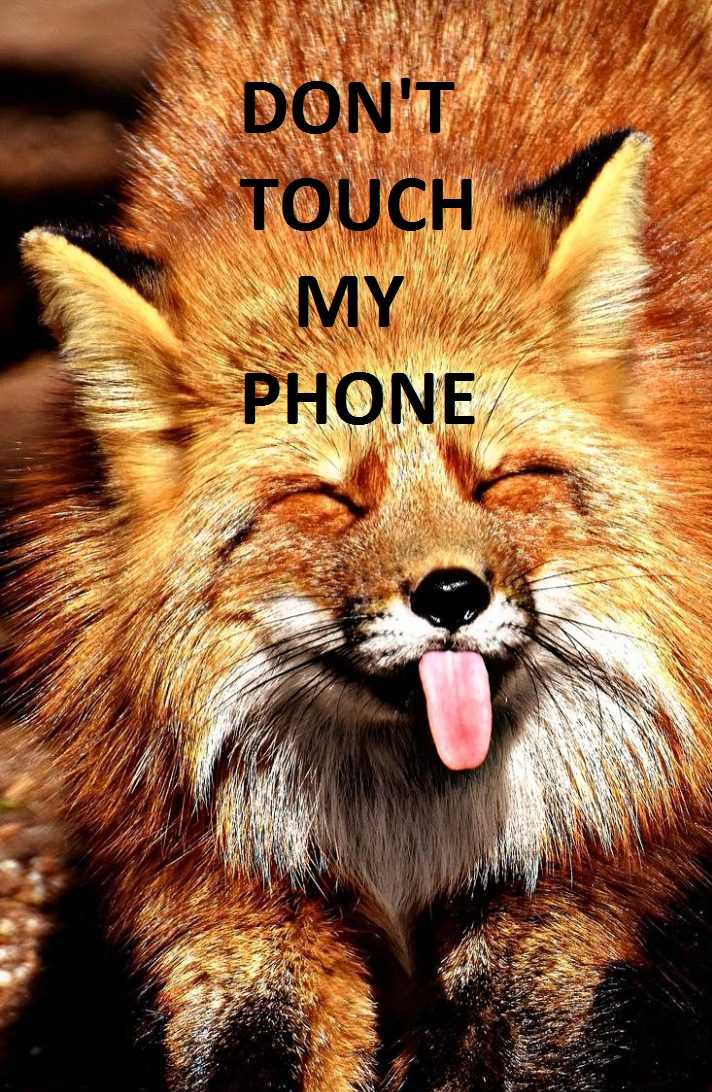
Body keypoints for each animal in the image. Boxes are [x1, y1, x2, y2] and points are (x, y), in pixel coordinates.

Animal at [4, 0, 712, 1088]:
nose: (453, 596)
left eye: (498, 478)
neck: (407, 831)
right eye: (325, 499)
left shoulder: (579, 885)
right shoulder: (229, 894)